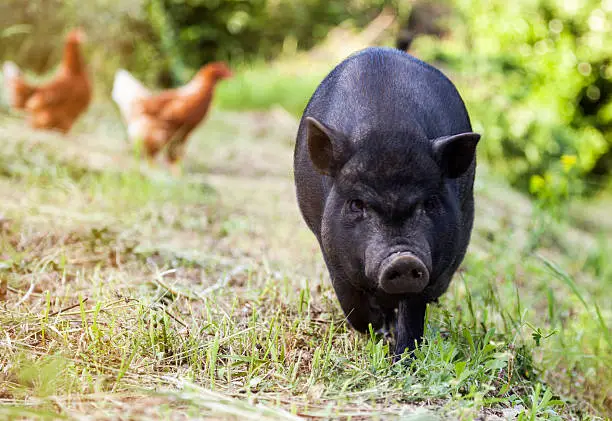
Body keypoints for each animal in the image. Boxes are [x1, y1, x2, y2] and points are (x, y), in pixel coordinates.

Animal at [294, 46, 480, 358]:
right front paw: (376, 331)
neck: (387, 130)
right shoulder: (331, 248)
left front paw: (403, 357)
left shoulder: (430, 262)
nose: (403, 259)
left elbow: (413, 311)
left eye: (429, 202)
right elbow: (351, 301)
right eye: (357, 204)